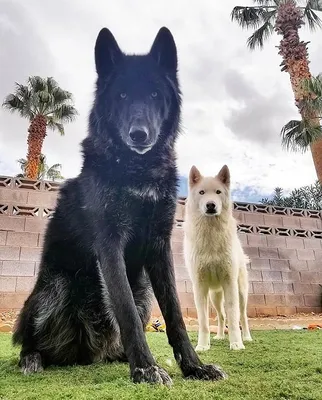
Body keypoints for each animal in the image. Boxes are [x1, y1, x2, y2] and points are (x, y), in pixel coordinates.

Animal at [13, 25, 226, 384]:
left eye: (155, 95)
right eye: (123, 96)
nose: (139, 134)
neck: (137, 171)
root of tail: (86, 354)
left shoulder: (159, 246)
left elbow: (175, 315)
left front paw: (193, 366)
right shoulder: (109, 243)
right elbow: (124, 310)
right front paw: (145, 368)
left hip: (143, 290)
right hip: (54, 287)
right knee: (29, 340)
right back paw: (32, 359)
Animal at [184, 165, 252, 350]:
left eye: (218, 192)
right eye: (201, 192)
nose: (210, 205)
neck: (211, 234)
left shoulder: (229, 283)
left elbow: (234, 318)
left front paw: (236, 343)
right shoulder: (200, 287)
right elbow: (204, 322)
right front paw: (202, 346)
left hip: (241, 293)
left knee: (242, 316)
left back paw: (247, 338)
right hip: (215, 297)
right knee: (221, 316)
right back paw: (220, 336)